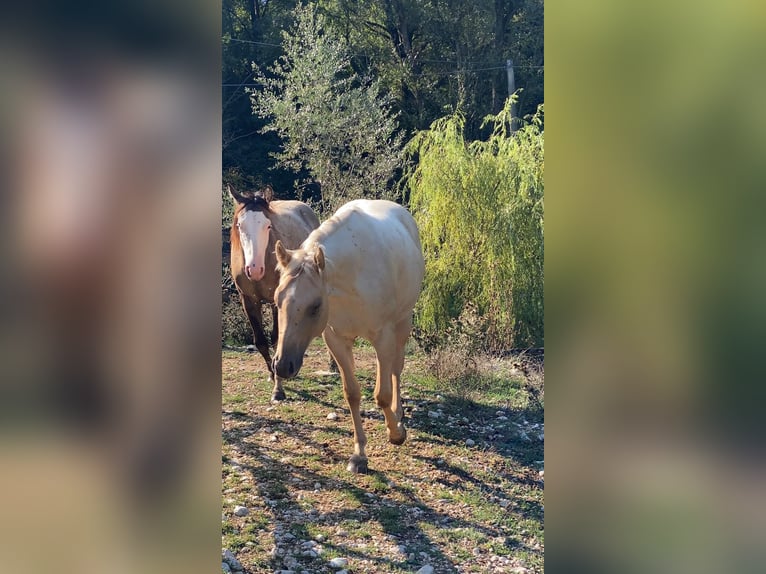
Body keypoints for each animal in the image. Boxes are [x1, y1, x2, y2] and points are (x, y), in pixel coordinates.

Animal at [230, 187, 322, 402]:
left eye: (268, 226)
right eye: (240, 225)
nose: (254, 269)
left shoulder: (276, 302)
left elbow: (275, 339)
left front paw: (278, 389)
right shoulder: (248, 301)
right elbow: (261, 342)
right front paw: (272, 374)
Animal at [272, 200, 426, 474]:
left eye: (315, 306)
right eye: (277, 300)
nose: (282, 365)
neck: (354, 273)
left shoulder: (383, 337)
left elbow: (382, 394)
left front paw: (396, 433)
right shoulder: (337, 341)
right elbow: (352, 393)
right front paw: (359, 455)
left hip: (402, 324)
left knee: (396, 369)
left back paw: (398, 416)